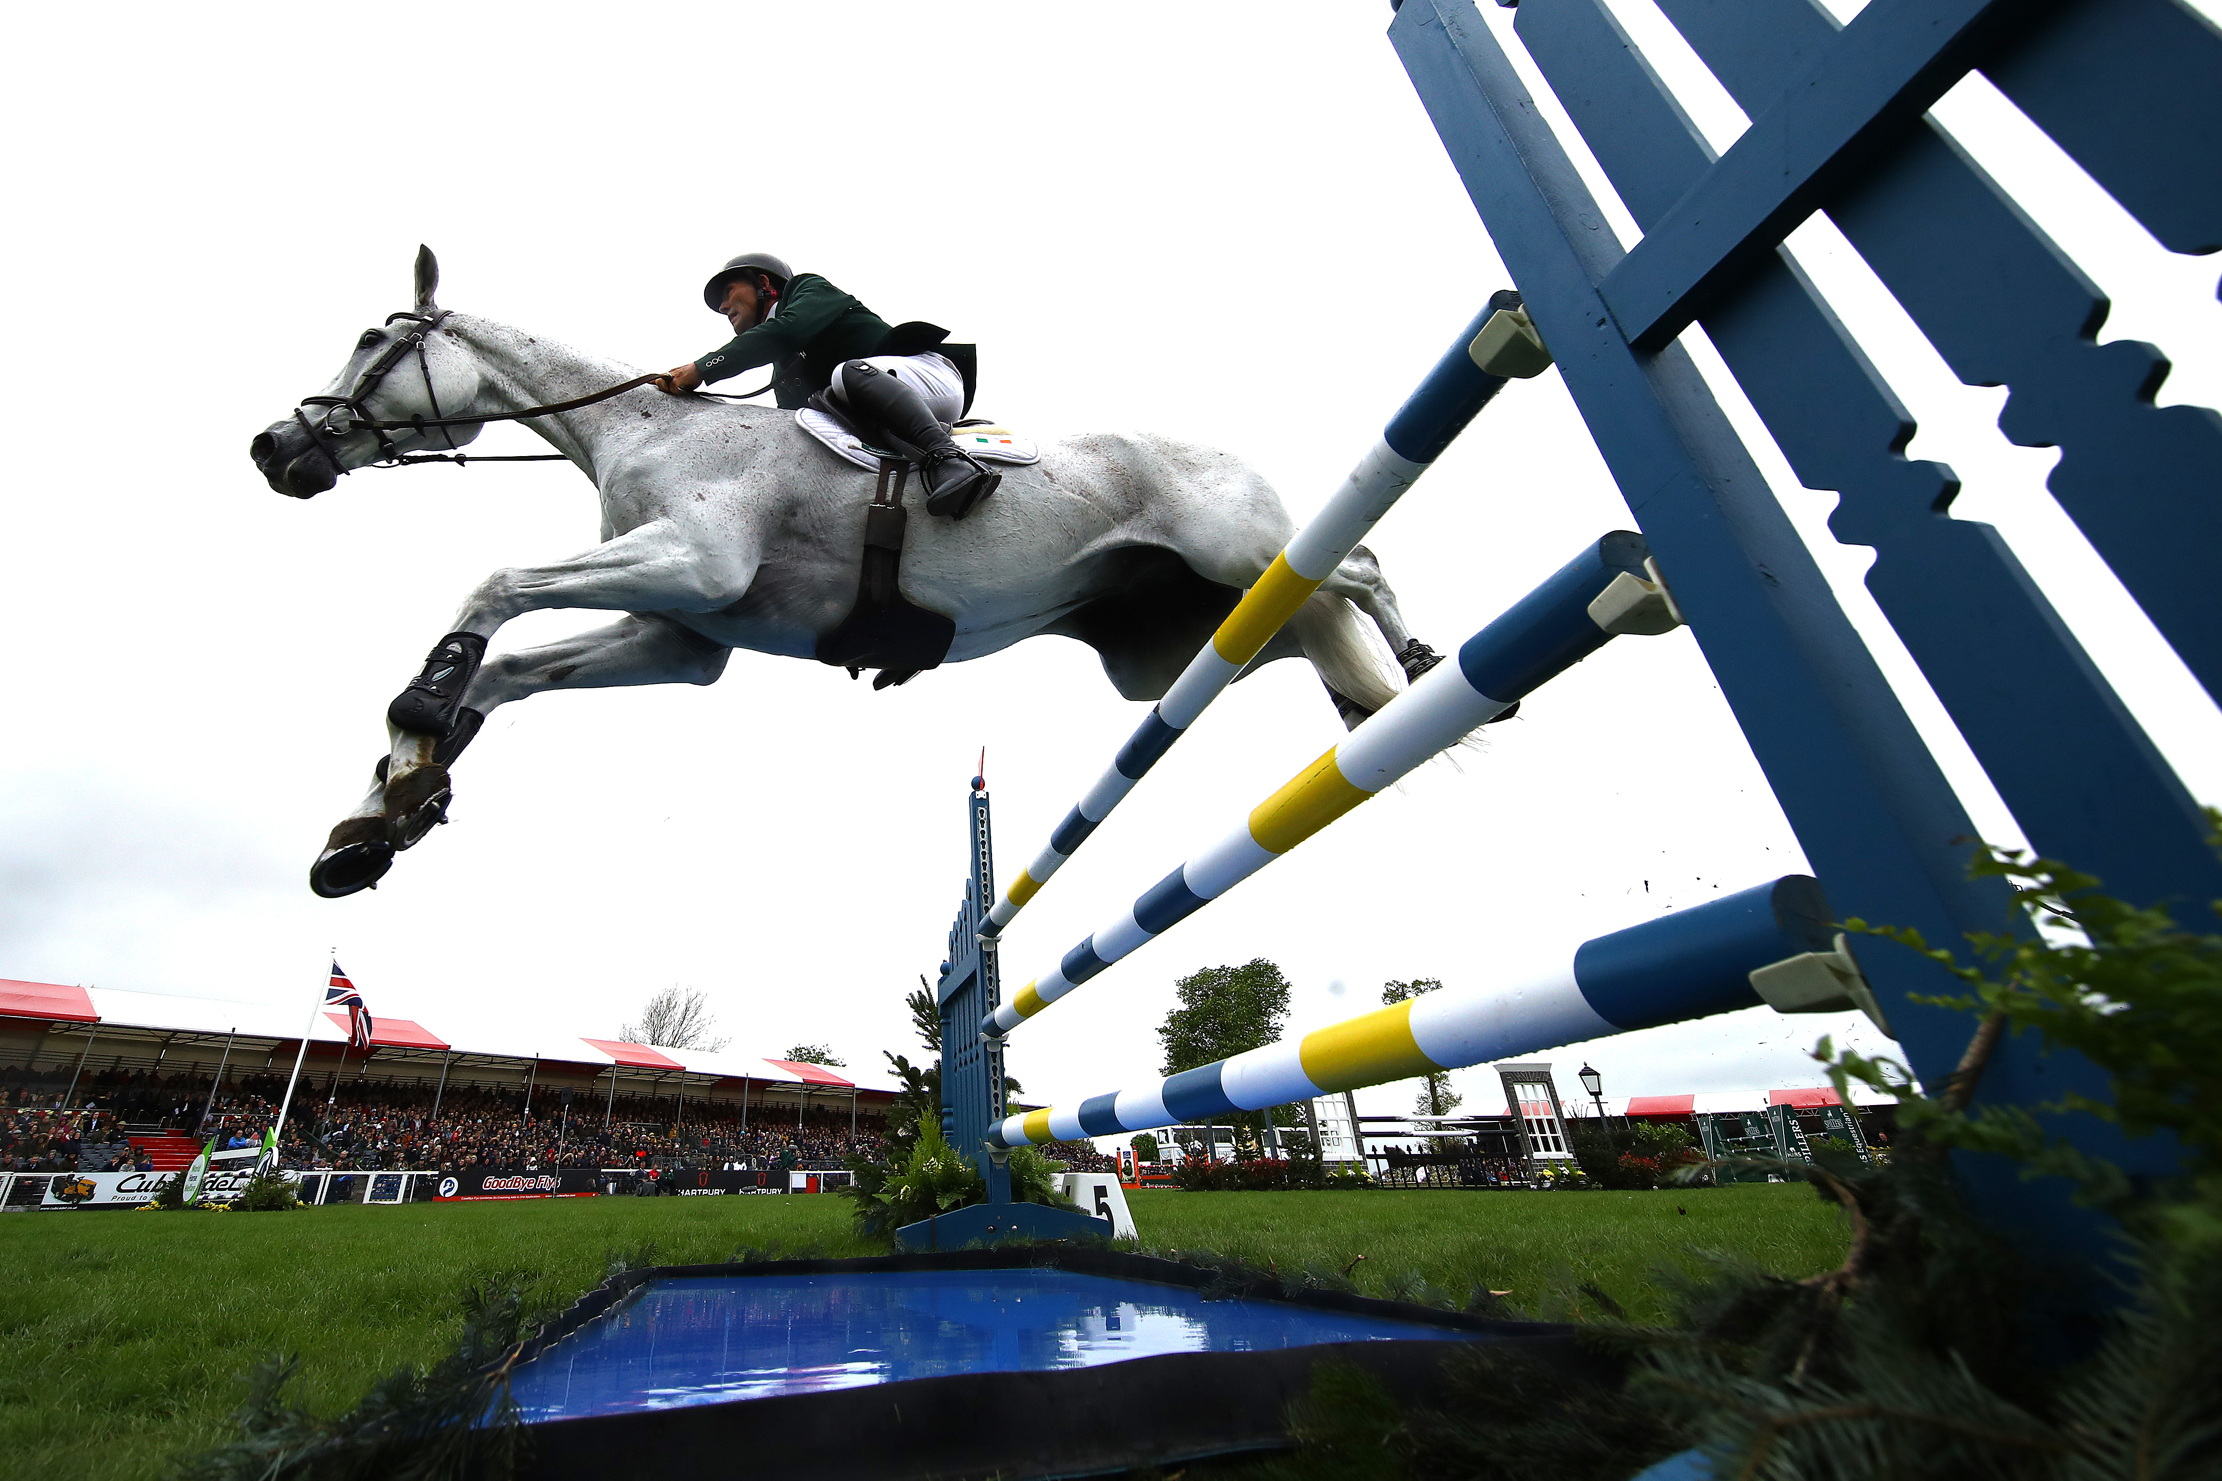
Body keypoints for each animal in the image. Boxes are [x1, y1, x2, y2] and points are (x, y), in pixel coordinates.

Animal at [252, 253, 1430, 897]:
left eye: (372, 342)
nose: (273, 448)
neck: (638, 429)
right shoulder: (679, 632)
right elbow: (497, 677)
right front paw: (387, 810)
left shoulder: (692, 562)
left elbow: (490, 589)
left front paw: (410, 741)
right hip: (1179, 643)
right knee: (1305, 627)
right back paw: (1363, 704)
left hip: (1241, 549)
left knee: (1359, 566)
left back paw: (1419, 661)